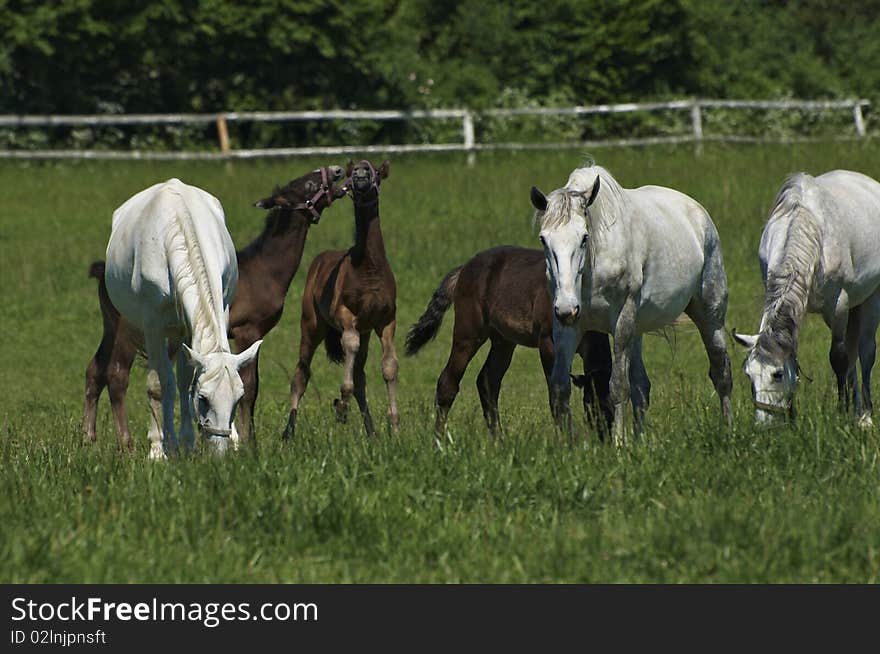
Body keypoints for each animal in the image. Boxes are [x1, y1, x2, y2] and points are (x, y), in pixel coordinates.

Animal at [104, 177, 262, 458]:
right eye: (204, 399)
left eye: (238, 398)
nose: (220, 454)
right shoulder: (153, 326)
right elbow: (158, 384)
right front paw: (159, 449)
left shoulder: (200, 322)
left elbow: (185, 380)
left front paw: (187, 443)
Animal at [282, 159, 398, 440]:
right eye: (353, 171)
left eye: (376, 171)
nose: (361, 174)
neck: (369, 268)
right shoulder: (346, 316)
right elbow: (350, 347)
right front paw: (341, 407)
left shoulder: (386, 320)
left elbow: (389, 366)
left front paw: (395, 427)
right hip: (311, 325)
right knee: (301, 372)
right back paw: (288, 432)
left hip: (366, 332)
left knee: (360, 375)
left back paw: (372, 432)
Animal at [406, 246, 612, 440]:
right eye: (592, 405)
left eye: (610, 404)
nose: (605, 438)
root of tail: (464, 269)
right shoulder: (548, 343)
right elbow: (557, 391)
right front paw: (569, 439)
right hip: (468, 334)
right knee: (448, 382)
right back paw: (439, 440)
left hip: (503, 340)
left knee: (487, 380)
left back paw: (498, 440)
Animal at [532, 164, 732, 446]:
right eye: (543, 239)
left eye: (584, 238)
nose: (566, 308)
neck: (594, 266)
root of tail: (698, 213)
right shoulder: (568, 327)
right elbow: (560, 387)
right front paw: (568, 445)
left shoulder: (622, 321)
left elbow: (617, 387)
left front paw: (618, 443)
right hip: (636, 330)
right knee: (642, 387)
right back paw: (640, 440)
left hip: (710, 316)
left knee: (721, 373)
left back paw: (728, 429)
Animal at [732, 170, 880, 426]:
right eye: (749, 375)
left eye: (777, 374)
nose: (764, 424)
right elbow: (794, 354)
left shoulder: (838, 306)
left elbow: (839, 358)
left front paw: (841, 413)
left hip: (871, 298)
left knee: (865, 352)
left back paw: (864, 416)